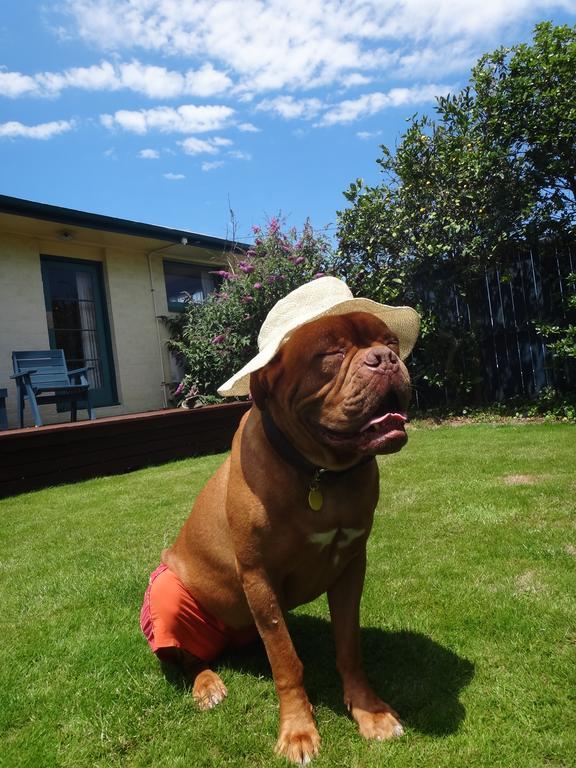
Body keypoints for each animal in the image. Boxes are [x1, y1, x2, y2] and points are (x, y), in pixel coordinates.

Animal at [153, 308, 414, 764]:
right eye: (331, 353)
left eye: (390, 342)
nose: (384, 359)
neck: (319, 474)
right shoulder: (259, 577)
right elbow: (286, 662)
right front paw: (298, 731)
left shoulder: (351, 566)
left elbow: (348, 646)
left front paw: (370, 712)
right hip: (167, 593)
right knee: (188, 658)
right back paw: (207, 685)